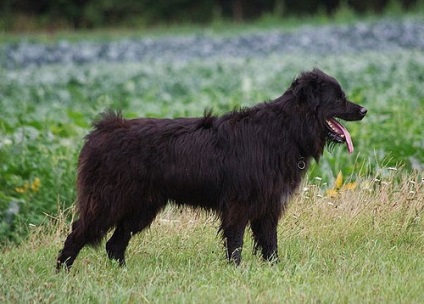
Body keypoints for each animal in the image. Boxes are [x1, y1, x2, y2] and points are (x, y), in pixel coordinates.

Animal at [57, 67, 368, 270]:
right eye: (338, 98)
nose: (364, 110)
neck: (286, 129)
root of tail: (103, 131)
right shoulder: (239, 205)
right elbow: (236, 242)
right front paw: (237, 271)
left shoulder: (268, 206)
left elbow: (269, 243)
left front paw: (274, 269)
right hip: (109, 202)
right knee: (78, 233)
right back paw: (62, 272)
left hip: (142, 207)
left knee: (114, 244)